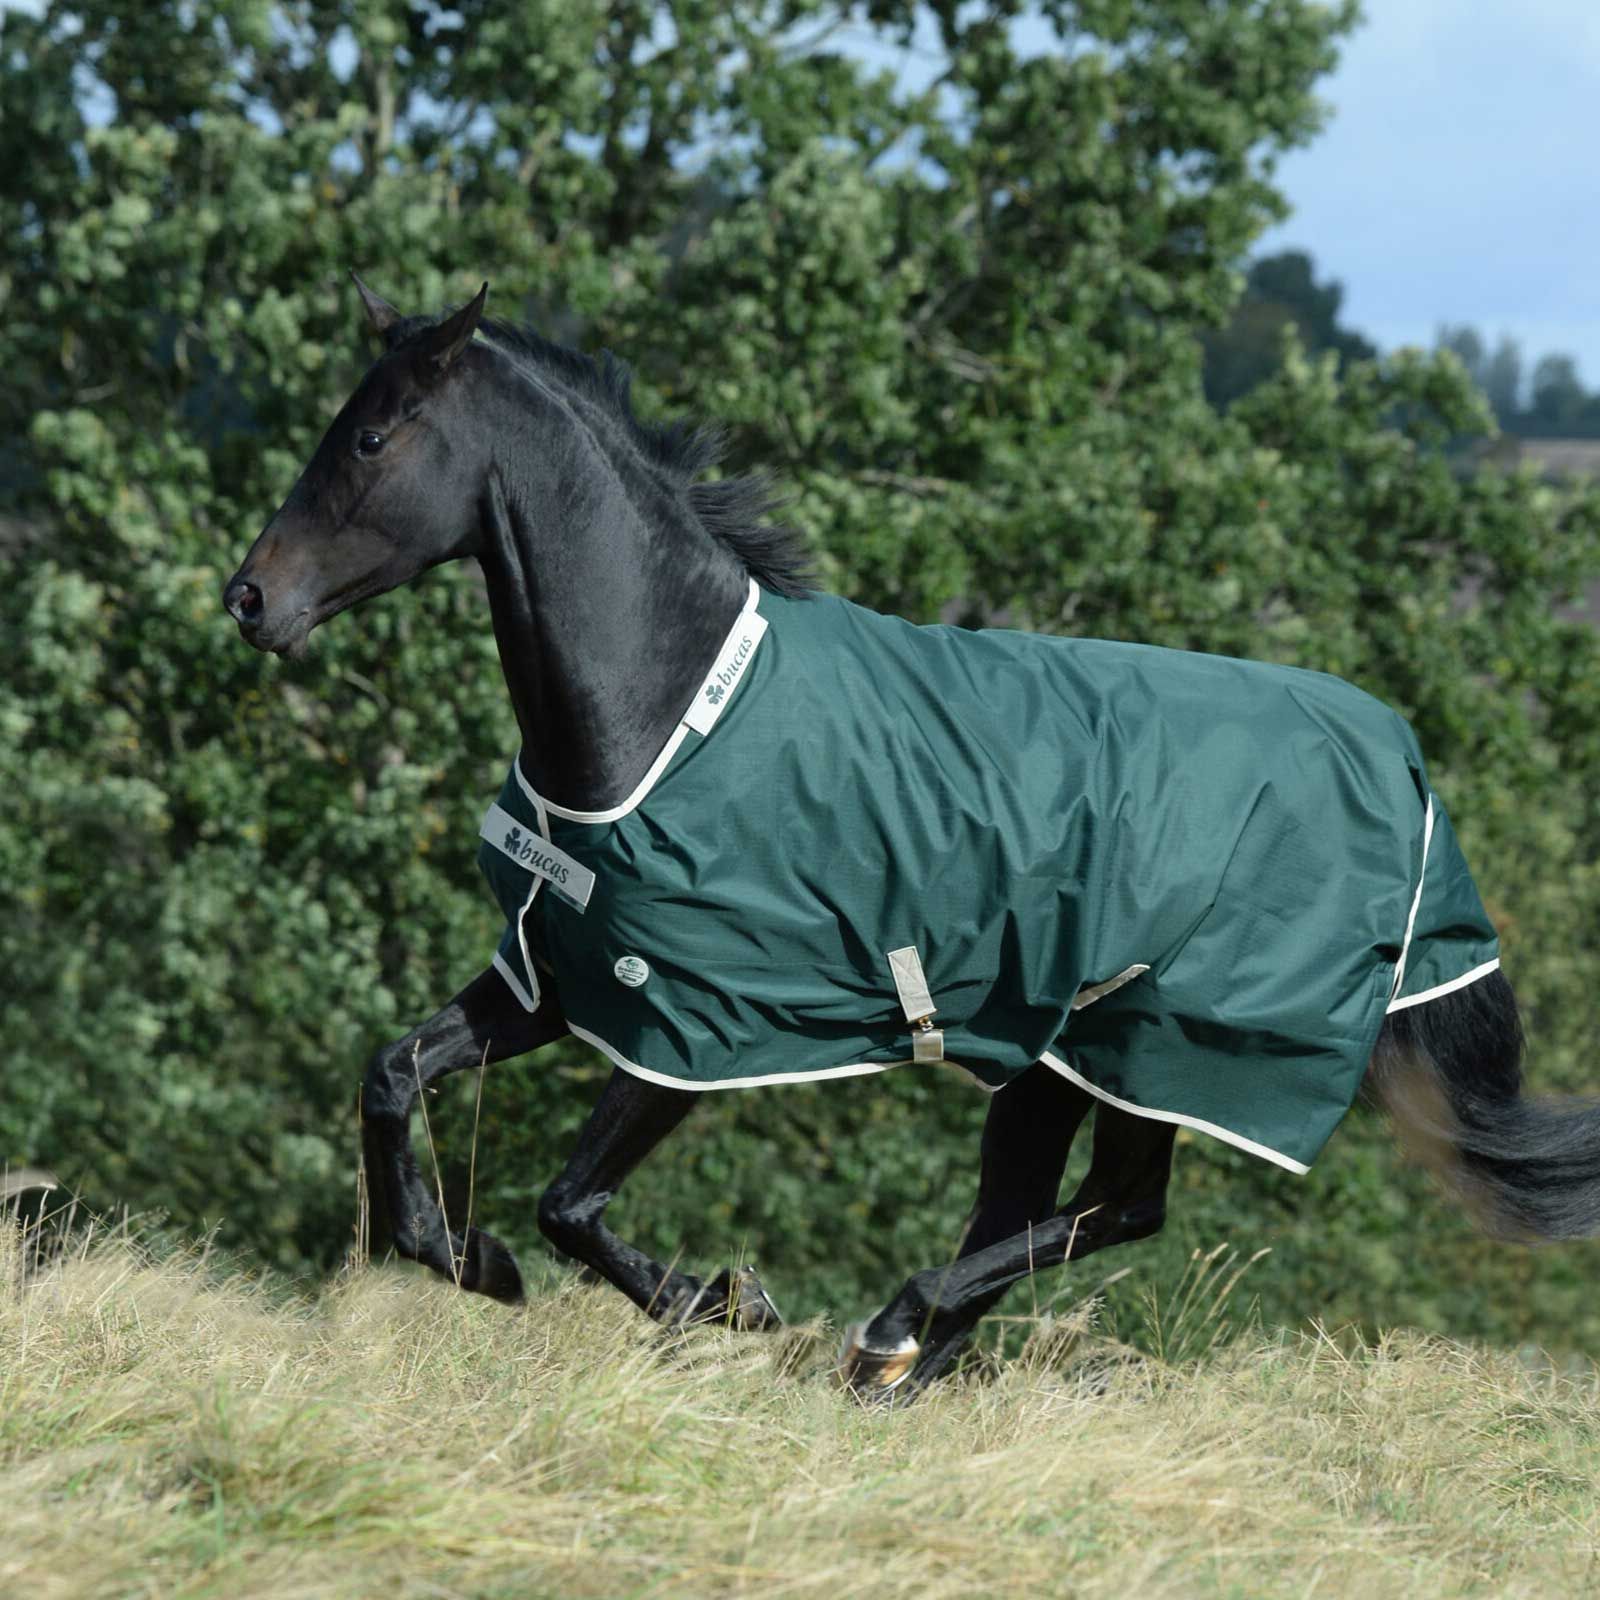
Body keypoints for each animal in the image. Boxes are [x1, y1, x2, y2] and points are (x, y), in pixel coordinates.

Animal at [223, 278, 1600, 1398]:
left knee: (1117, 1208)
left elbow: (571, 1202)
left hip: (1163, 1045)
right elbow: (393, 1076)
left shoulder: (694, 1024)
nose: (248, 598)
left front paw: (721, 1300)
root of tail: (1404, 770)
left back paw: (887, 1329)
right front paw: (469, 1257)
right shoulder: (553, 977)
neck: (667, 711)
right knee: (1050, 1205)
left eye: (373, 435)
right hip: (1056, 1060)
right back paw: (899, 1364)